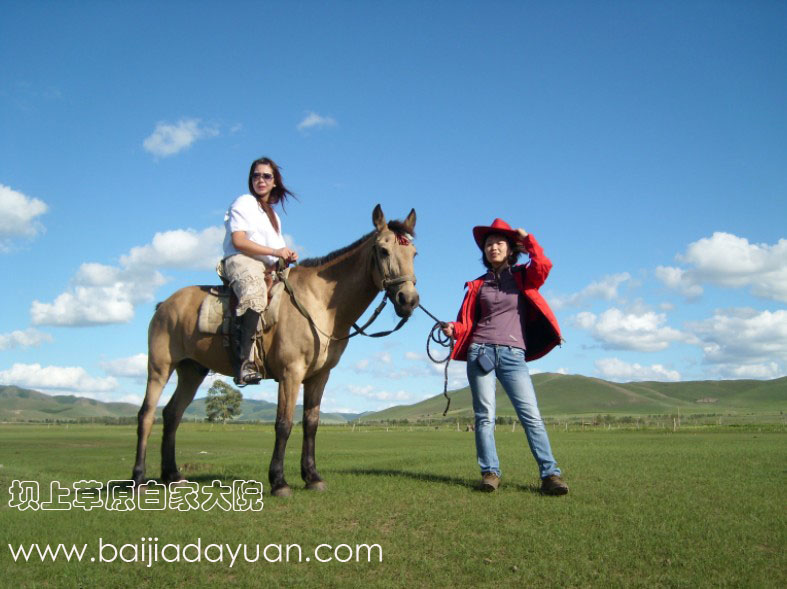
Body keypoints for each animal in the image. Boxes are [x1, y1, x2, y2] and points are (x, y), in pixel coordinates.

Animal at [132, 206, 418, 496]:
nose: (409, 300)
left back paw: (172, 475)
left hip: (191, 371)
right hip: (159, 368)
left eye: (414, 253)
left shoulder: (319, 377)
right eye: (383, 251)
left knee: (172, 414)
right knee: (146, 415)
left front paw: (312, 477)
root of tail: (164, 304)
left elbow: (311, 424)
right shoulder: (290, 373)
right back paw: (139, 480)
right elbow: (284, 424)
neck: (319, 303)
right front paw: (279, 481)